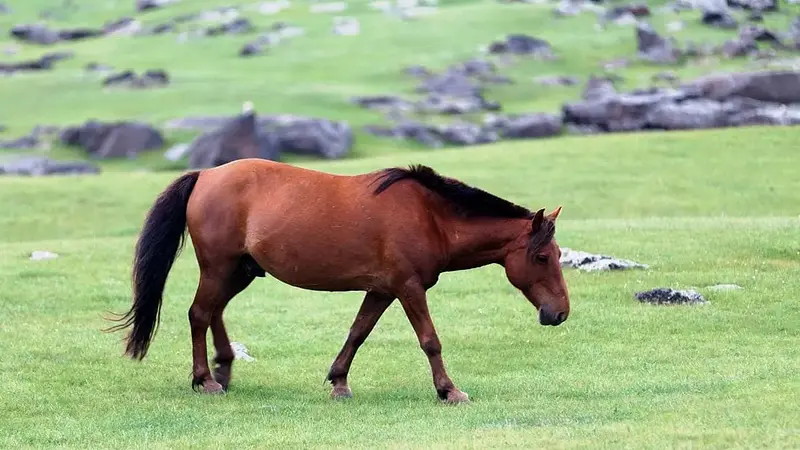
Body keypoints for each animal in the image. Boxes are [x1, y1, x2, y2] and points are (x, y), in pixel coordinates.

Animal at [106, 158, 570, 404]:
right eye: (543, 257)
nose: (560, 313)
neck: (432, 217)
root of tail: (206, 173)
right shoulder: (408, 288)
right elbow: (430, 341)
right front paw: (449, 390)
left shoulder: (381, 290)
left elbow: (357, 333)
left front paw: (339, 381)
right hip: (220, 268)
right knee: (200, 313)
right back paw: (205, 380)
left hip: (239, 270)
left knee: (212, 312)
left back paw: (222, 369)